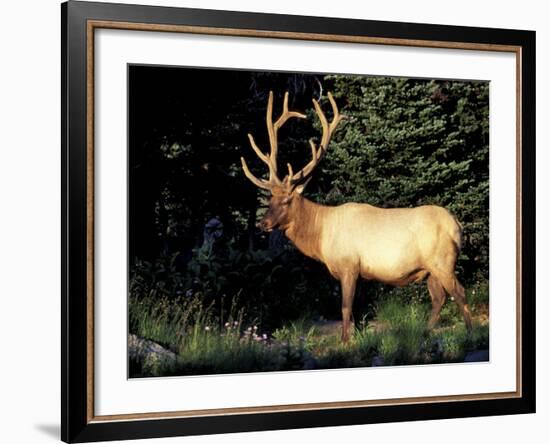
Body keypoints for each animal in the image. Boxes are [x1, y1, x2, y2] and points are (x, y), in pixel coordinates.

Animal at [242, 91, 474, 344]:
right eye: (270, 199)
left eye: (286, 200)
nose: (263, 223)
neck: (321, 237)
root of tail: (457, 227)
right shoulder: (360, 273)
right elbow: (358, 312)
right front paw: (358, 338)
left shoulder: (349, 265)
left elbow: (345, 308)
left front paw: (344, 342)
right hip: (430, 269)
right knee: (439, 298)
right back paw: (424, 332)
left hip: (443, 260)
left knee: (460, 293)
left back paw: (471, 332)